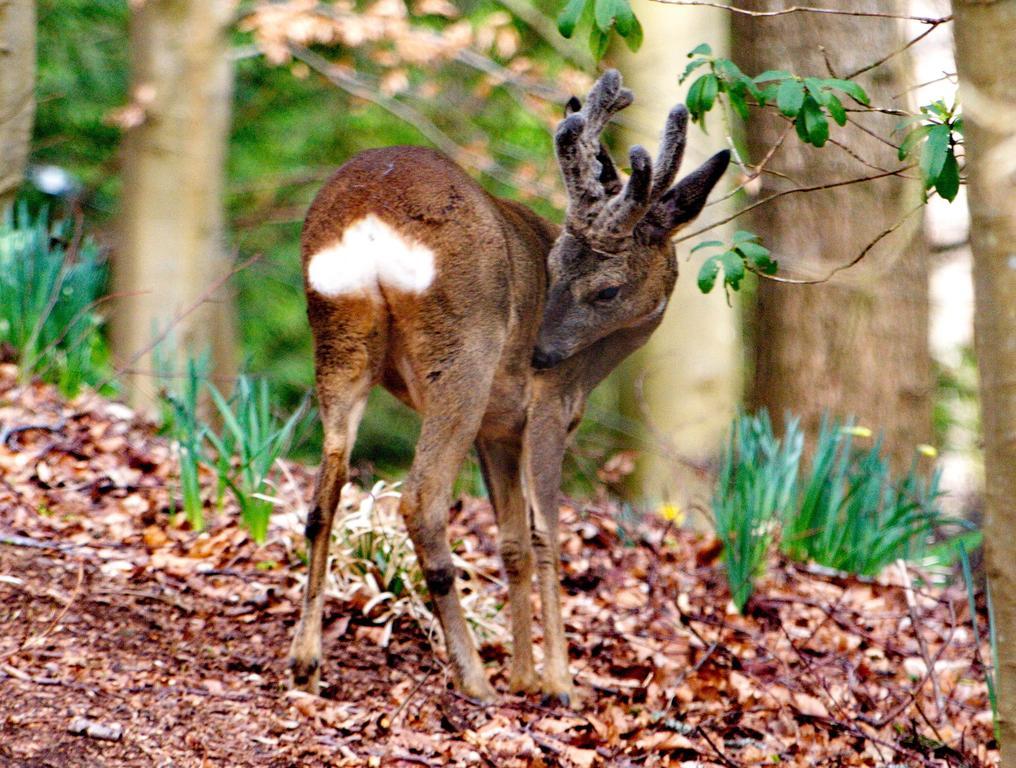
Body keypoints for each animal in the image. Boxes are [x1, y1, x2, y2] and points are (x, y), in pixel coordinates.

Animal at [288, 69, 731, 702]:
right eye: (557, 269)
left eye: (604, 289)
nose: (539, 354)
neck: (592, 366)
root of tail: (369, 216)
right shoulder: (548, 409)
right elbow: (546, 535)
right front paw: (557, 683)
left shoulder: (498, 428)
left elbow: (513, 542)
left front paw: (523, 674)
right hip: (462, 352)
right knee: (420, 498)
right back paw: (473, 677)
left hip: (339, 338)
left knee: (324, 494)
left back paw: (306, 661)